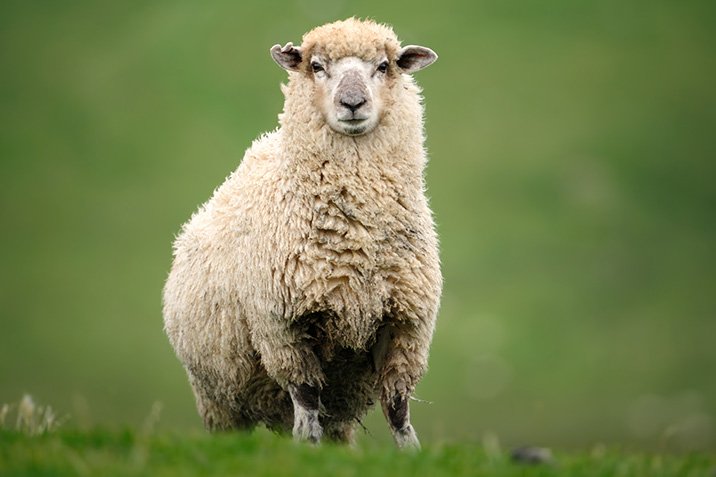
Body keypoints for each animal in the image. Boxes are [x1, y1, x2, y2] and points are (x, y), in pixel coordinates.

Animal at [162, 18, 441, 449]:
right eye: (316, 66)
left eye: (383, 66)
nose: (352, 103)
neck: (357, 235)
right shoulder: (283, 327)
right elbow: (308, 400)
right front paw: (306, 447)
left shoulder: (405, 324)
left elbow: (398, 409)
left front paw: (411, 453)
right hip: (217, 396)